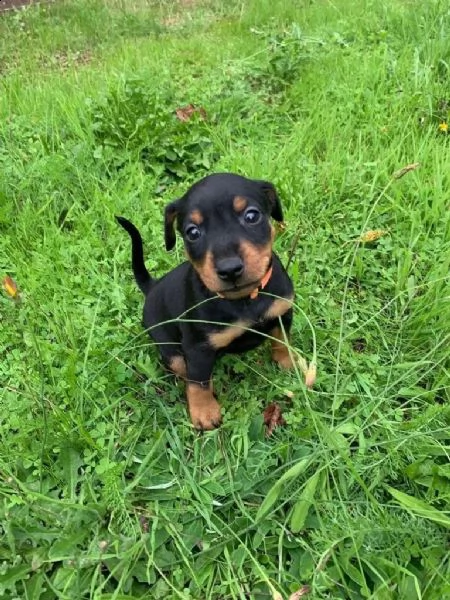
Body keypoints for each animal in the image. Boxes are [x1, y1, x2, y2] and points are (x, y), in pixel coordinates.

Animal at [117, 171, 296, 428]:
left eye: (251, 215)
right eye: (192, 232)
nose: (229, 269)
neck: (244, 299)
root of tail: (152, 287)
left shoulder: (282, 312)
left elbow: (282, 341)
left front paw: (289, 363)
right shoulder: (197, 347)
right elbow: (198, 381)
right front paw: (204, 412)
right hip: (170, 349)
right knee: (185, 372)